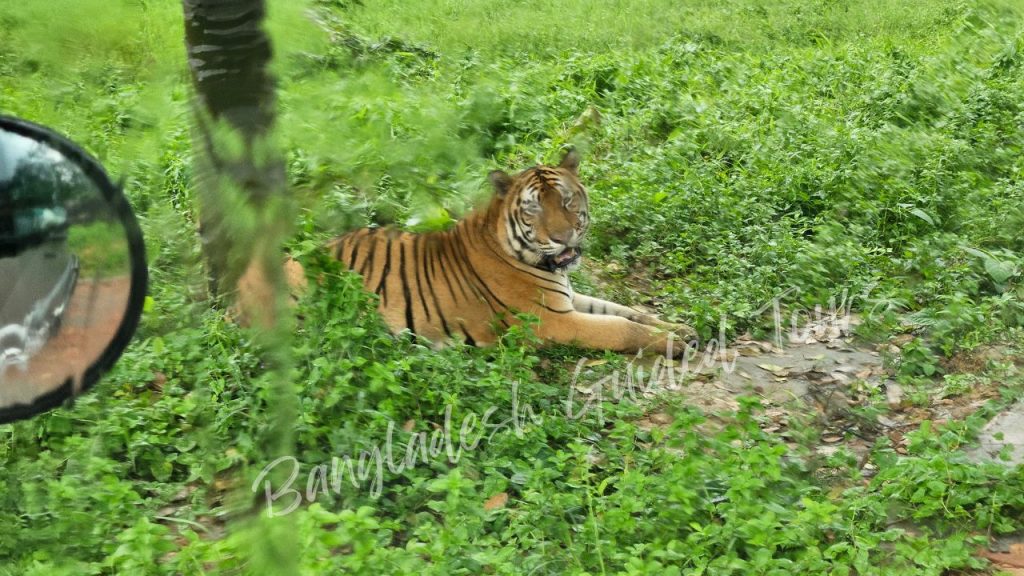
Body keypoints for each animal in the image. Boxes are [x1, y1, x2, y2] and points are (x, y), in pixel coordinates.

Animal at [326, 150, 697, 356]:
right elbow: (620, 326)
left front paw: (680, 329)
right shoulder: (552, 321)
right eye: (533, 208)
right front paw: (672, 342)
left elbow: (627, 311)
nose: (563, 237)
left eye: (566, 200)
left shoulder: (567, 299)